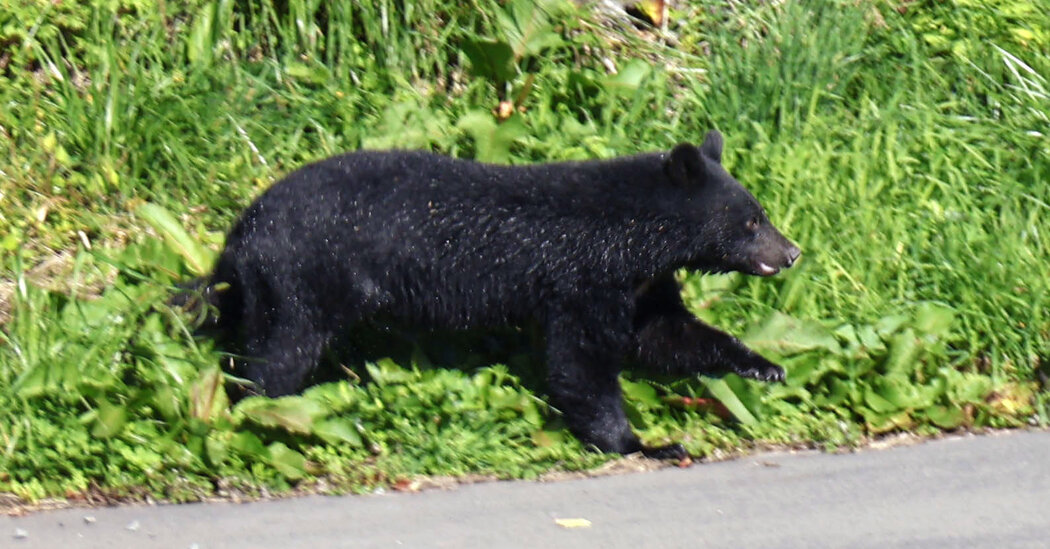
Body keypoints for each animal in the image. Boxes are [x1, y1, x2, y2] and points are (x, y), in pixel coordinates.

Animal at [196, 129, 800, 460]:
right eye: (751, 221)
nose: (792, 251)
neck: (633, 235)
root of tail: (240, 233)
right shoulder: (583, 279)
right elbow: (581, 362)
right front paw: (641, 444)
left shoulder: (640, 284)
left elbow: (665, 333)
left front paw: (763, 365)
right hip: (300, 278)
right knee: (279, 355)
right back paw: (258, 417)